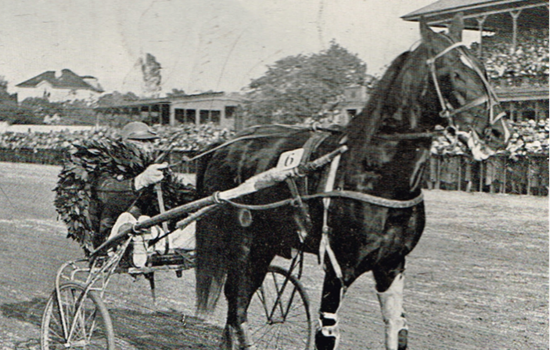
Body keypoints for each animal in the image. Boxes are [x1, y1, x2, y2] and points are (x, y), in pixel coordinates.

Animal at [195, 15, 512, 350]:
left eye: (485, 69)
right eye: (453, 73)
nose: (498, 132)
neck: (375, 173)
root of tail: (226, 144)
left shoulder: (391, 264)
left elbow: (397, 330)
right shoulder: (338, 267)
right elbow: (326, 332)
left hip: (265, 243)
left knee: (238, 301)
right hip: (241, 241)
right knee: (237, 303)